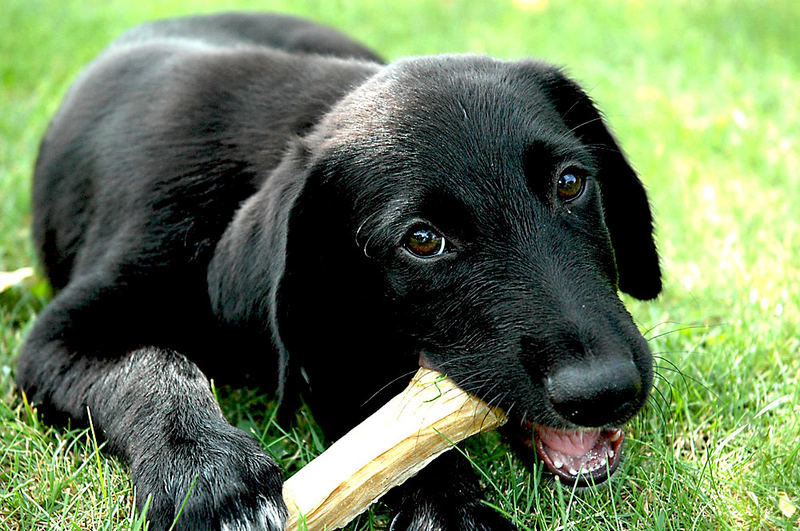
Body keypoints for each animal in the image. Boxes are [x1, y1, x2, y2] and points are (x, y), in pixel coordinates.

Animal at [17, 12, 664, 531]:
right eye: (422, 240)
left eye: (571, 182)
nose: (605, 391)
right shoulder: (55, 338)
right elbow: (152, 365)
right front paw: (210, 471)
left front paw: (446, 504)